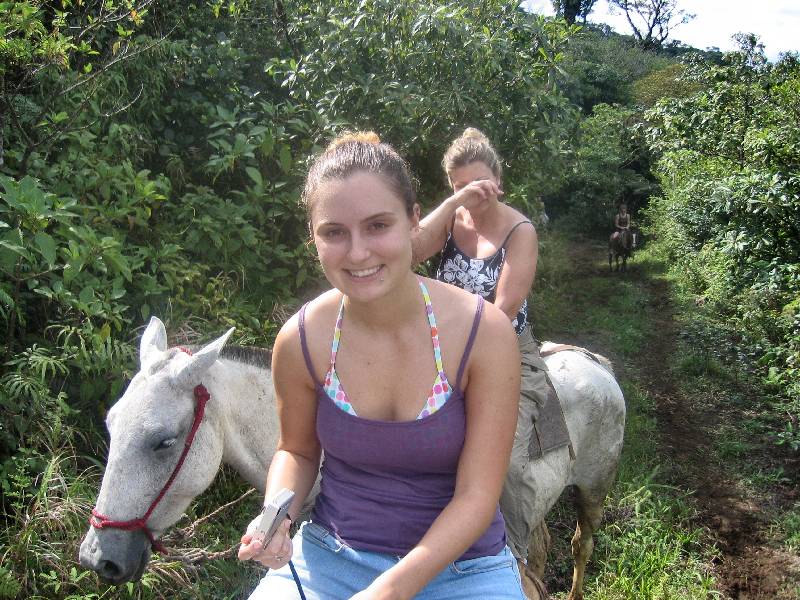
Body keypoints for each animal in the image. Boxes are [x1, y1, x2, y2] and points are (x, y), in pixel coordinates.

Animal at [78, 316, 624, 596]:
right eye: (111, 424)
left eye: (163, 441)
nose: (97, 558)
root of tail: (595, 364)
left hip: (594, 490)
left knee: (581, 545)